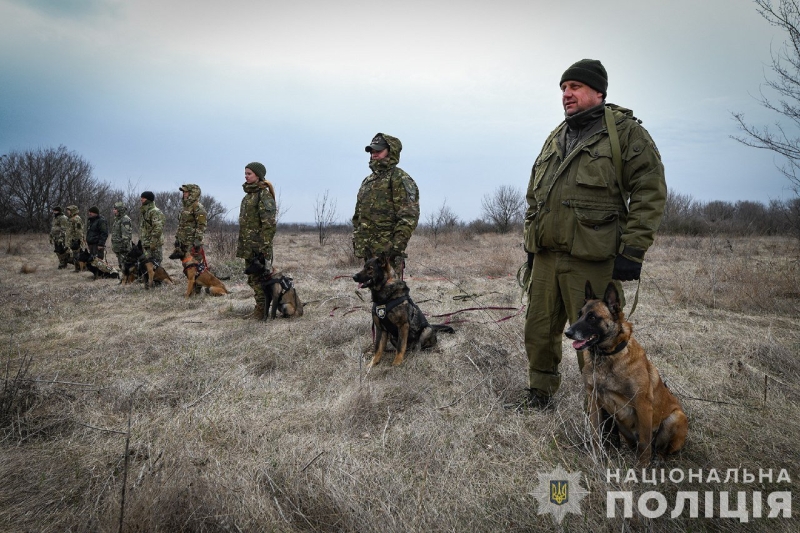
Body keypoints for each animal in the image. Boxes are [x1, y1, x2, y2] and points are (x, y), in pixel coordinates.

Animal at [564, 280, 688, 464]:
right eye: (580, 314)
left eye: (592, 317)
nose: (568, 333)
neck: (607, 357)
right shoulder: (594, 401)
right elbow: (595, 433)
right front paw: (597, 457)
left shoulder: (643, 405)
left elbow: (644, 443)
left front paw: (642, 468)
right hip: (622, 426)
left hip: (676, 417)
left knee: (662, 449)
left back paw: (658, 459)